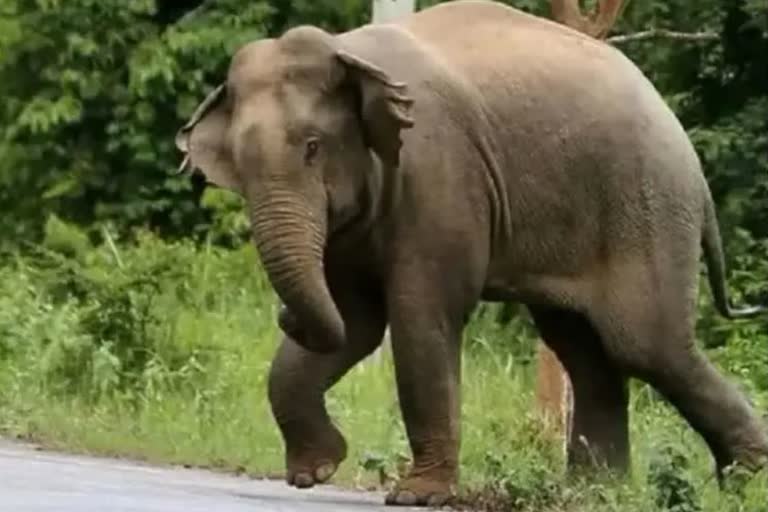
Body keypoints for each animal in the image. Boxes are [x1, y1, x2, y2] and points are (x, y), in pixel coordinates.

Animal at [174, 0, 768, 504]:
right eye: (237, 165)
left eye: (313, 148)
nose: (283, 316)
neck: (350, 53)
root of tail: (692, 160)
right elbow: (355, 322)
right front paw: (314, 471)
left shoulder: (439, 174)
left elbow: (420, 315)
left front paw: (418, 496)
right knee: (584, 348)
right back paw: (593, 496)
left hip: (646, 208)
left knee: (645, 345)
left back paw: (745, 485)